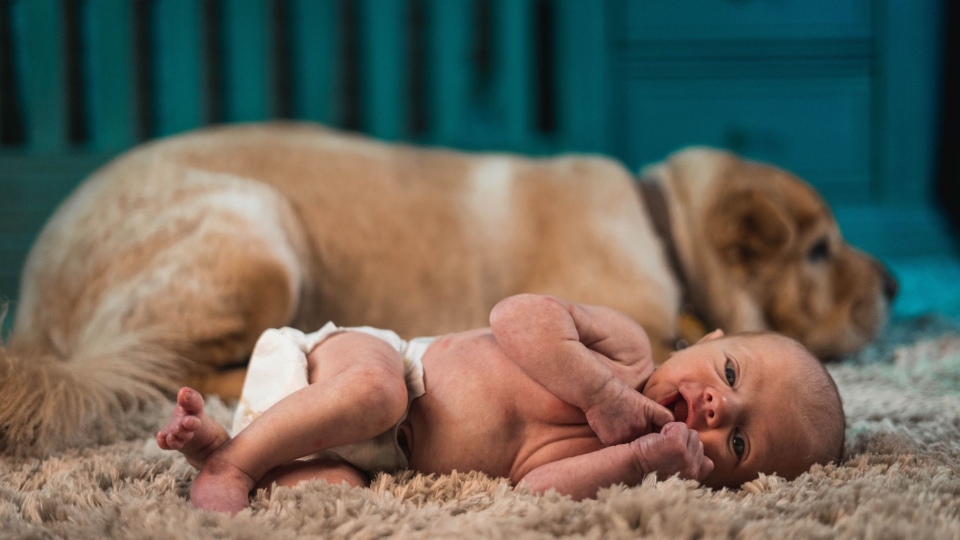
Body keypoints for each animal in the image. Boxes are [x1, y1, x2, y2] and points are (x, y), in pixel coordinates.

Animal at [1, 123, 900, 456]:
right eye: (819, 251)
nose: (896, 279)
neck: (665, 225)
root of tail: (33, 308)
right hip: (259, 233)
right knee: (164, 367)